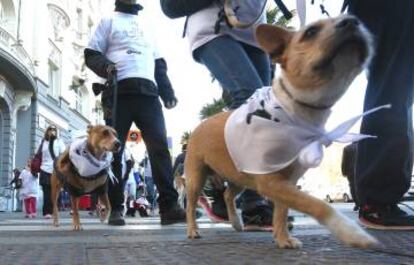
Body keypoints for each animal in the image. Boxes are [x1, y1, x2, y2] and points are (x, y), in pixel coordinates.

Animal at [186, 16, 380, 248]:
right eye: (310, 32)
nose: (351, 21)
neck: (296, 113)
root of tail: (201, 124)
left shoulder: (286, 182)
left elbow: (282, 211)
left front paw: (282, 238)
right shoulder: (271, 182)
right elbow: (317, 204)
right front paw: (351, 232)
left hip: (239, 176)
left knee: (227, 194)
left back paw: (236, 222)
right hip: (196, 177)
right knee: (191, 205)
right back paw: (193, 230)